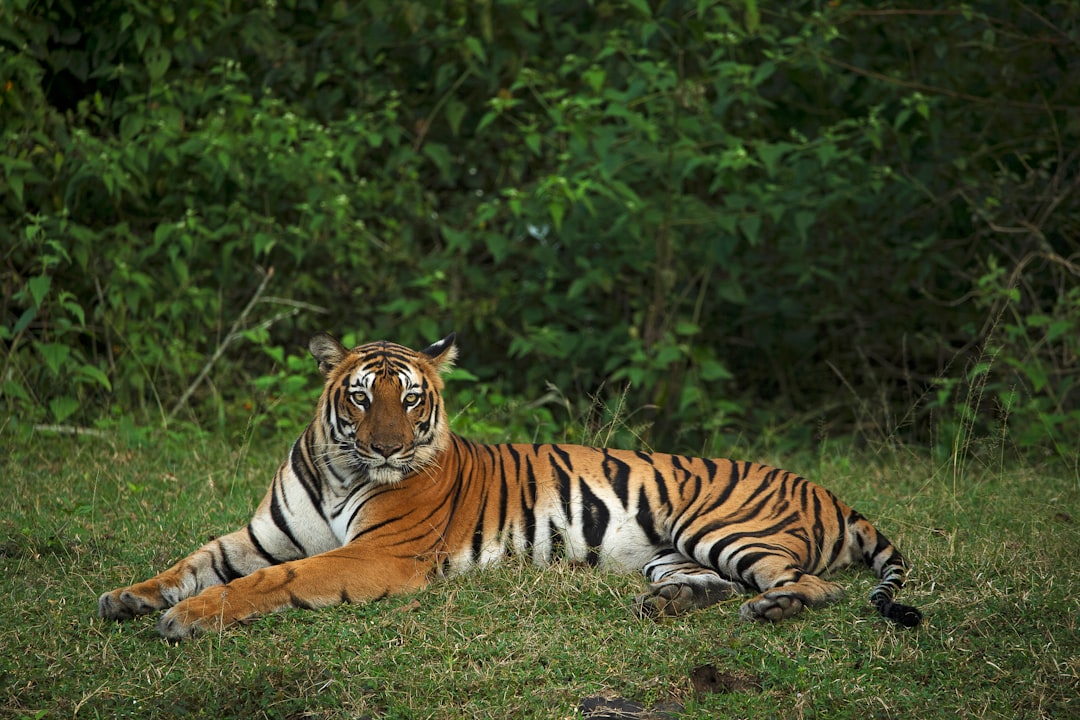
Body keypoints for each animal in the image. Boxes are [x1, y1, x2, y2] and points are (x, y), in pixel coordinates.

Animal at [98, 332, 922, 639]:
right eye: (361, 398)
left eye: (413, 399)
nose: (389, 447)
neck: (342, 466)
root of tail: (832, 493)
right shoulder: (259, 535)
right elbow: (193, 562)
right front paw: (128, 598)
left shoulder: (379, 555)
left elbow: (277, 580)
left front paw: (186, 619)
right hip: (671, 552)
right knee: (711, 583)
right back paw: (668, 605)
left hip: (724, 526)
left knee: (818, 585)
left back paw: (775, 607)